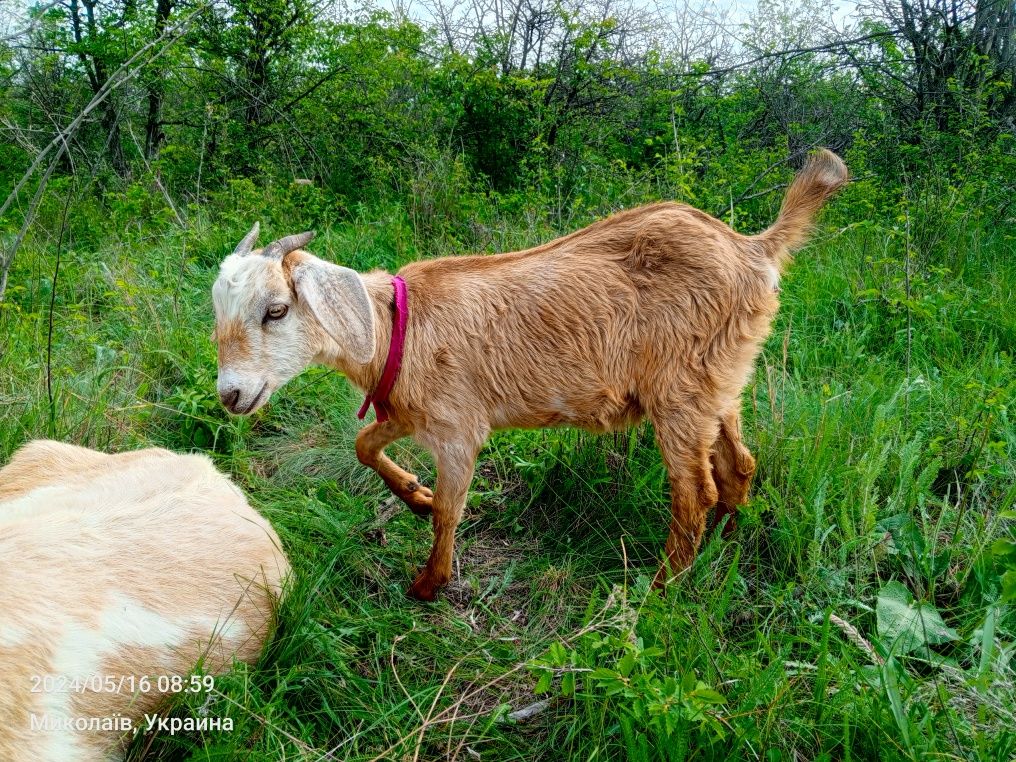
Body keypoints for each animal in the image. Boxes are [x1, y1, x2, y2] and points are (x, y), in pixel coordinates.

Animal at [212, 149, 849, 601]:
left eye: (276, 309)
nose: (231, 394)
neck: (398, 329)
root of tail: (754, 250)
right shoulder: (409, 412)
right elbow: (365, 445)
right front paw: (414, 497)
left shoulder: (458, 429)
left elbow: (451, 510)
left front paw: (428, 584)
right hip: (720, 381)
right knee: (738, 466)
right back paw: (725, 544)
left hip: (680, 392)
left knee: (695, 489)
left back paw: (660, 587)